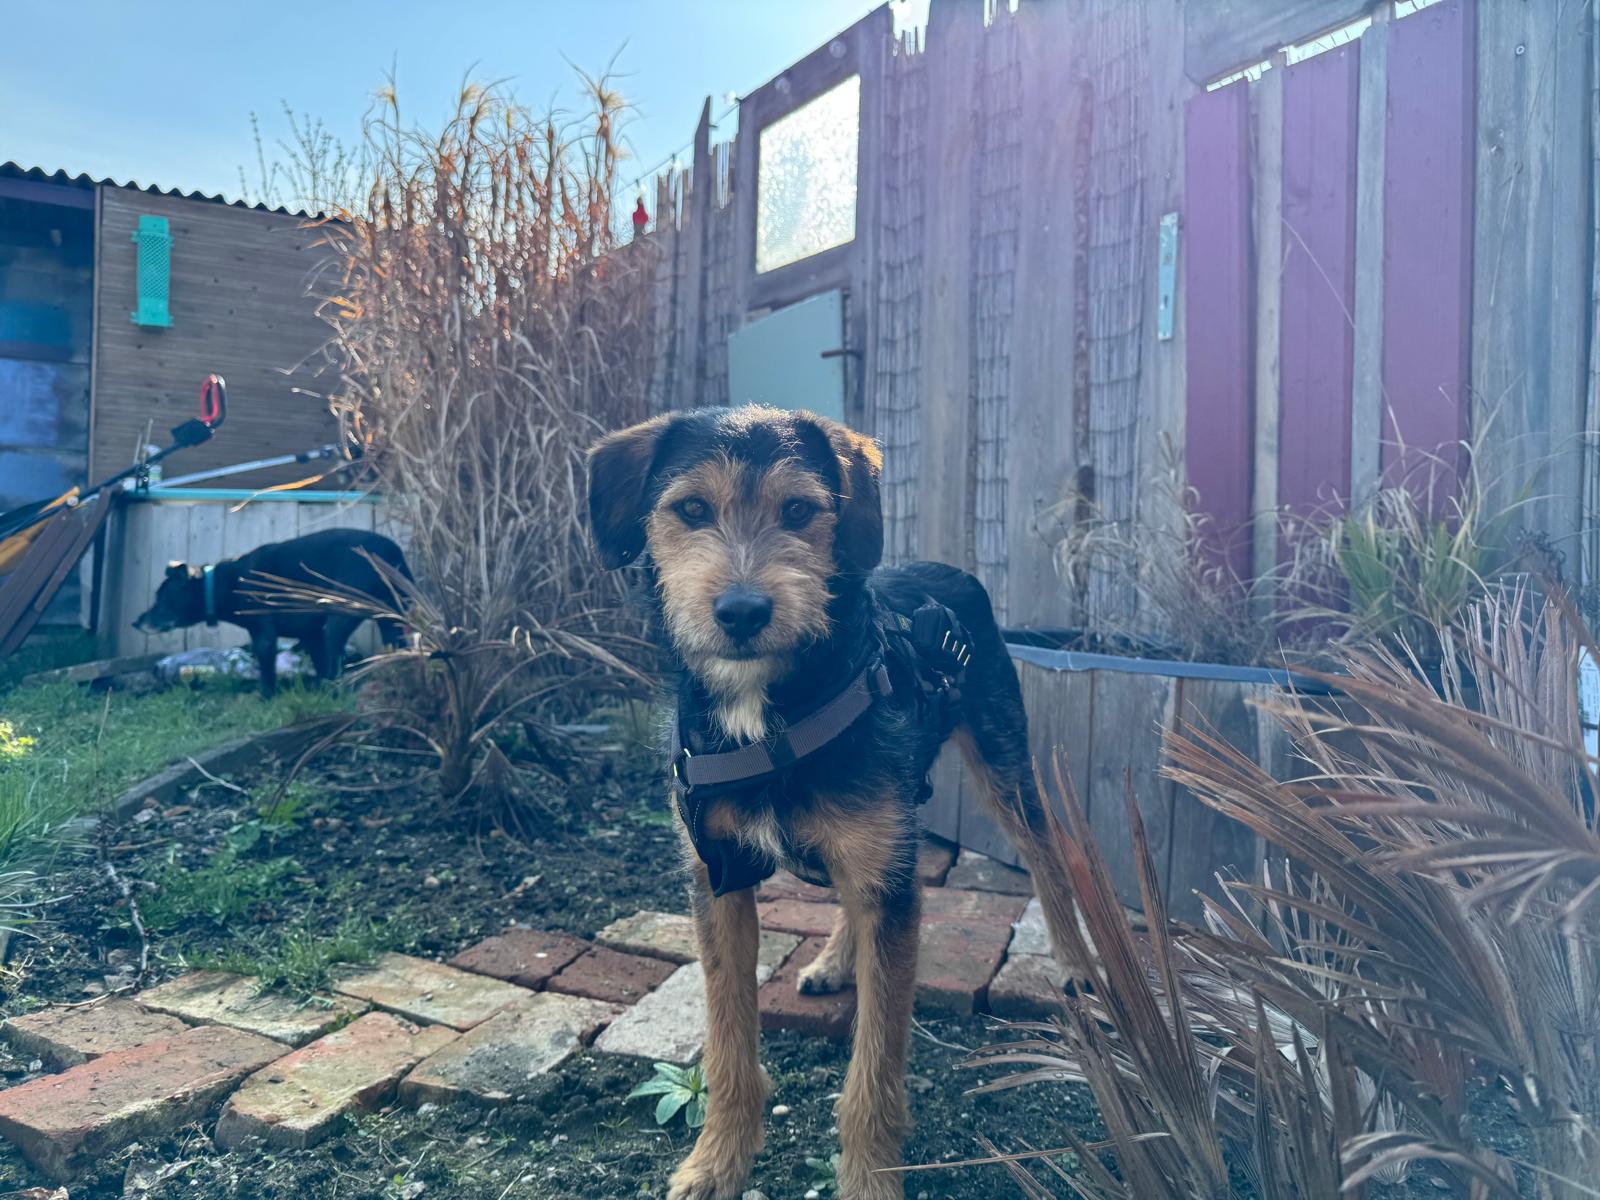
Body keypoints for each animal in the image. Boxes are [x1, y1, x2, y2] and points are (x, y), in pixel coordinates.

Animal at [133, 527, 411, 698]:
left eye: (160, 598)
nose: (135, 622)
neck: (223, 583)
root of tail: (391, 552)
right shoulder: (311, 635)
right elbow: (319, 664)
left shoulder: (264, 635)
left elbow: (268, 670)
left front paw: (266, 697)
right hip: (390, 618)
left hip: (340, 616)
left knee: (336, 653)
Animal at [587, 406, 1085, 1200]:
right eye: (690, 509)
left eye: (798, 511)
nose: (742, 610)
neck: (768, 713)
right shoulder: (717, 878)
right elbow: (727, 1040)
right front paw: (716, 1162)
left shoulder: (891, 888)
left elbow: (873, 1069)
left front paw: (870, 1179)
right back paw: (832, 961)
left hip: (1001, 763)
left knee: (1047, 855)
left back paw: (1075, 962)